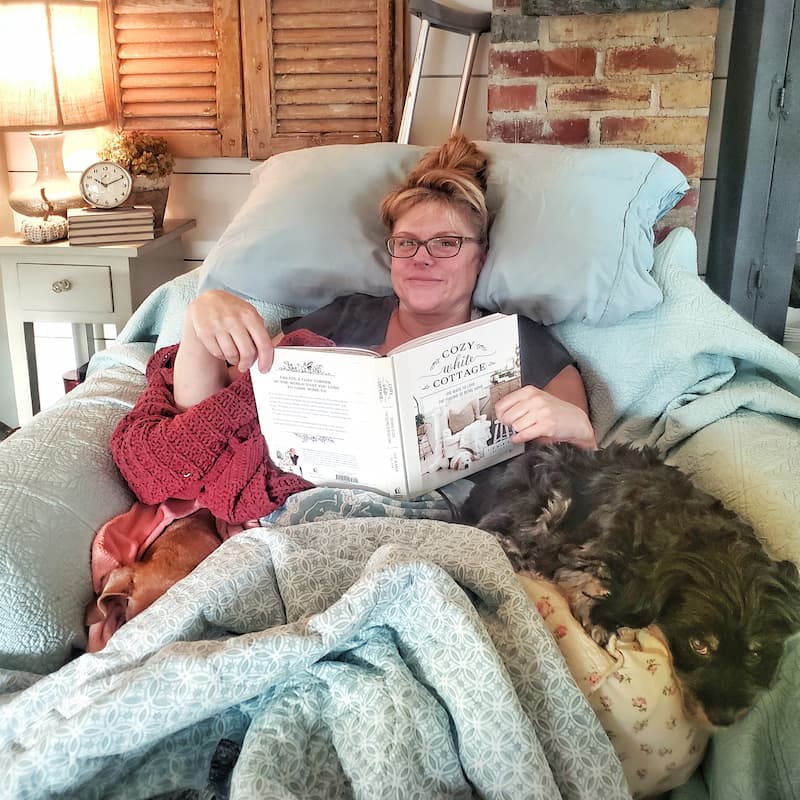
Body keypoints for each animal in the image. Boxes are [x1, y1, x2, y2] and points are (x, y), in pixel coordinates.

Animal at [461, 442, 800, 728]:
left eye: (754, 655)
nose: (724, 719)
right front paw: (599, 618)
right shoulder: (581, 551)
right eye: (699, 645)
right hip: (549, 498)